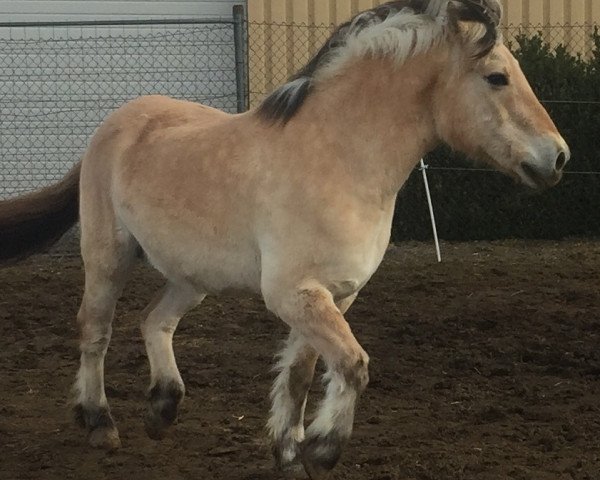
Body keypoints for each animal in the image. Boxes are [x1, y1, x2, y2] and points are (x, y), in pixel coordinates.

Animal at [0, 1, 572, 478]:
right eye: (497, 77)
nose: (559, 157)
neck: (340, 158)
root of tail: (115, 124)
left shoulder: (335, 295)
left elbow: (301, 373)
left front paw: (290, 453)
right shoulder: (294, 293)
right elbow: (353, 366)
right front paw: (321, 450)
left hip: (191, 277)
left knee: (153, 321)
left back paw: (162, 410)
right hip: (107, 258)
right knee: (95, 331)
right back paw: (101, 425)